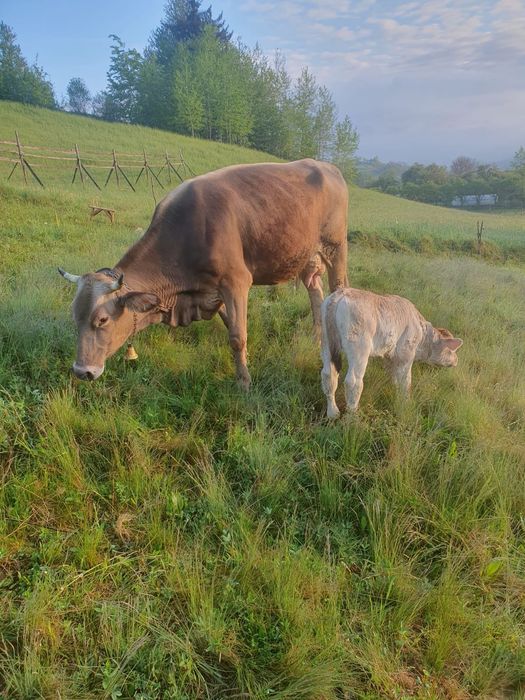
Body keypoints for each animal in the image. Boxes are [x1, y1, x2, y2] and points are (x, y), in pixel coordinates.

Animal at [58, 159, 348, 388]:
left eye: (103, 320)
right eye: (74, 317)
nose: (82, 371)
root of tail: (328, 166)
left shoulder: (236, 282)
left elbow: (237, 337)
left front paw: (244, 383)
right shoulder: (213, 291)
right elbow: (233, 325)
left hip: (336, 246)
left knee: (338, 288)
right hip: (305, 256)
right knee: (315, 293)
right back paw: (316, 338)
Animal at [320, 287, 463, 417]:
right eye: (452, 350)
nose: (456, 360)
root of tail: (340, 293)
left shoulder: (389, 355)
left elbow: (393, 375)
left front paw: (394, 387)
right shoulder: (406, 355)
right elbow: (406, 382)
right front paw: (406, 403)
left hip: (326, 343)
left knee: (328, 375)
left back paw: (333, 413)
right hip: (359, 348)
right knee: (353, 382)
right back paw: (352, 417)